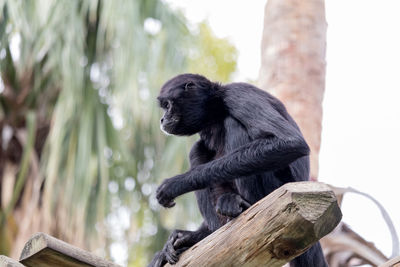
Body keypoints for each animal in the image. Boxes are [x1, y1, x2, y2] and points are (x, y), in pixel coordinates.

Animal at [148, 74, 326, 267]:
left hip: (275, 184)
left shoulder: (238, 94)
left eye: (168, 105)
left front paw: (176, 184)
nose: (162, 119)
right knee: (197, 149)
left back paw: (243, 205)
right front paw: (186, 237)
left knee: (233, 125)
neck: (216, 108)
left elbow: (291, 143)